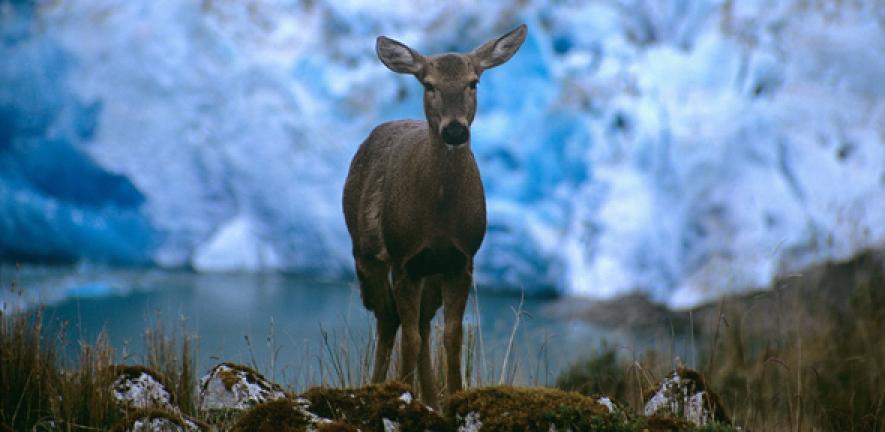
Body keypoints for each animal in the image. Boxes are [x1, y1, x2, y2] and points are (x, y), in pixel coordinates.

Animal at [342, 25, 524, 406]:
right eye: (428, 85)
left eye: (473, 82)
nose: (454, 130)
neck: (439, 219)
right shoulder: (404, 258)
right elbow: (408, 337)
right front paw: (401, 394)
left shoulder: (462, 259)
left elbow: (452, 337)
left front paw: (453, 398)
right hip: (366, 256)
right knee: (389, 320)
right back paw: (379, 385)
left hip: (432, 275)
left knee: (423, 325)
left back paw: (430, 398)